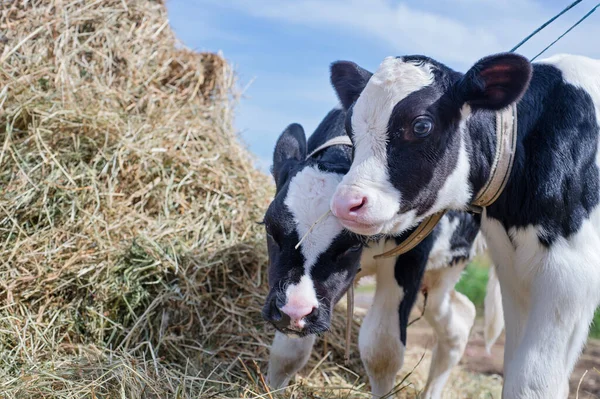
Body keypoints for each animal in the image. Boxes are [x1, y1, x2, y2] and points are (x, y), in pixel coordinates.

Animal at [262, 109, 502, 399]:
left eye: (351, 245)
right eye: (270, 229)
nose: (294, 312)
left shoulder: (410, 259)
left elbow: (382, 350)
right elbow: (288, 352)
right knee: (460, 318)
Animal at [330, 54, 600, 399]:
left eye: (421, 125)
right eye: (350, 127)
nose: (345, 203)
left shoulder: (571, 274)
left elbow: (532, 383)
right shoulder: (516, 273)